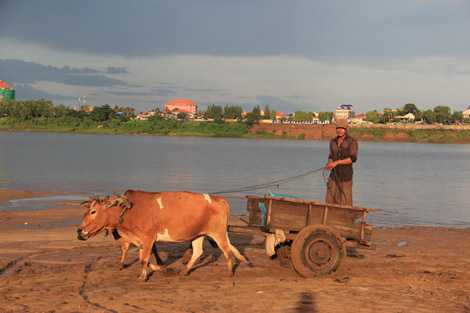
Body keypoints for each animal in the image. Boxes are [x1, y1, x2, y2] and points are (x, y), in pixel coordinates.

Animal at [76, 190, 250, 280]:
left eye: (93, 211)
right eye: (85, 212)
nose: (79, 230)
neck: (128, 210)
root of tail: (219, 198)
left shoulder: (148, 237)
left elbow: (144, 259)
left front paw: (143, 277)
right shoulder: (141, 239)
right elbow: (143, 259)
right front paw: (161, 268)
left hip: (217, 233)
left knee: (226, 251)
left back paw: (229, 272)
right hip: (199, 234)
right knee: (198, 251)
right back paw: (185, 271)